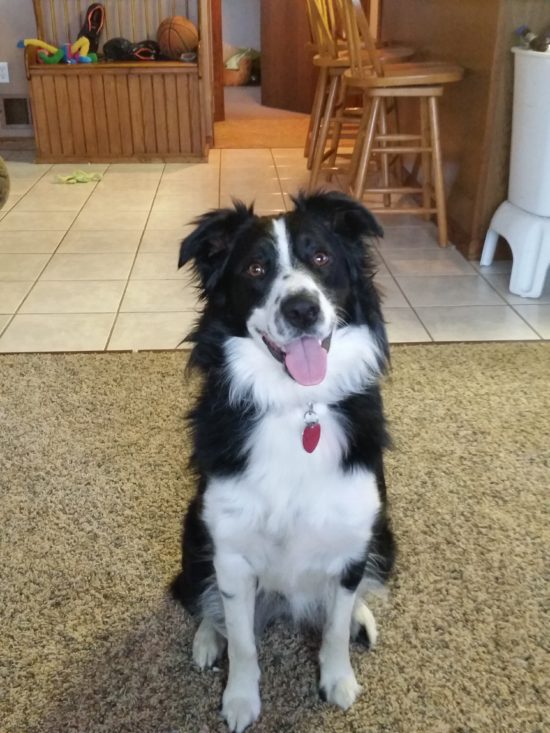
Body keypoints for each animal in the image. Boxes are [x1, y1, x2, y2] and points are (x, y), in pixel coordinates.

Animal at [172, 192, 396, 728]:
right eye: (256, 268)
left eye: (321, 257)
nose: (302, 309)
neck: (298, 408)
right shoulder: (230, 552)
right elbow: (243, 642)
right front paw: (240, 701)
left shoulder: (353, 535)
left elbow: (335, 622)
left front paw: (338, 680)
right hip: (193, 531)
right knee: (204, 600)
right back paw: (207, 640)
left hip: (385, 533)